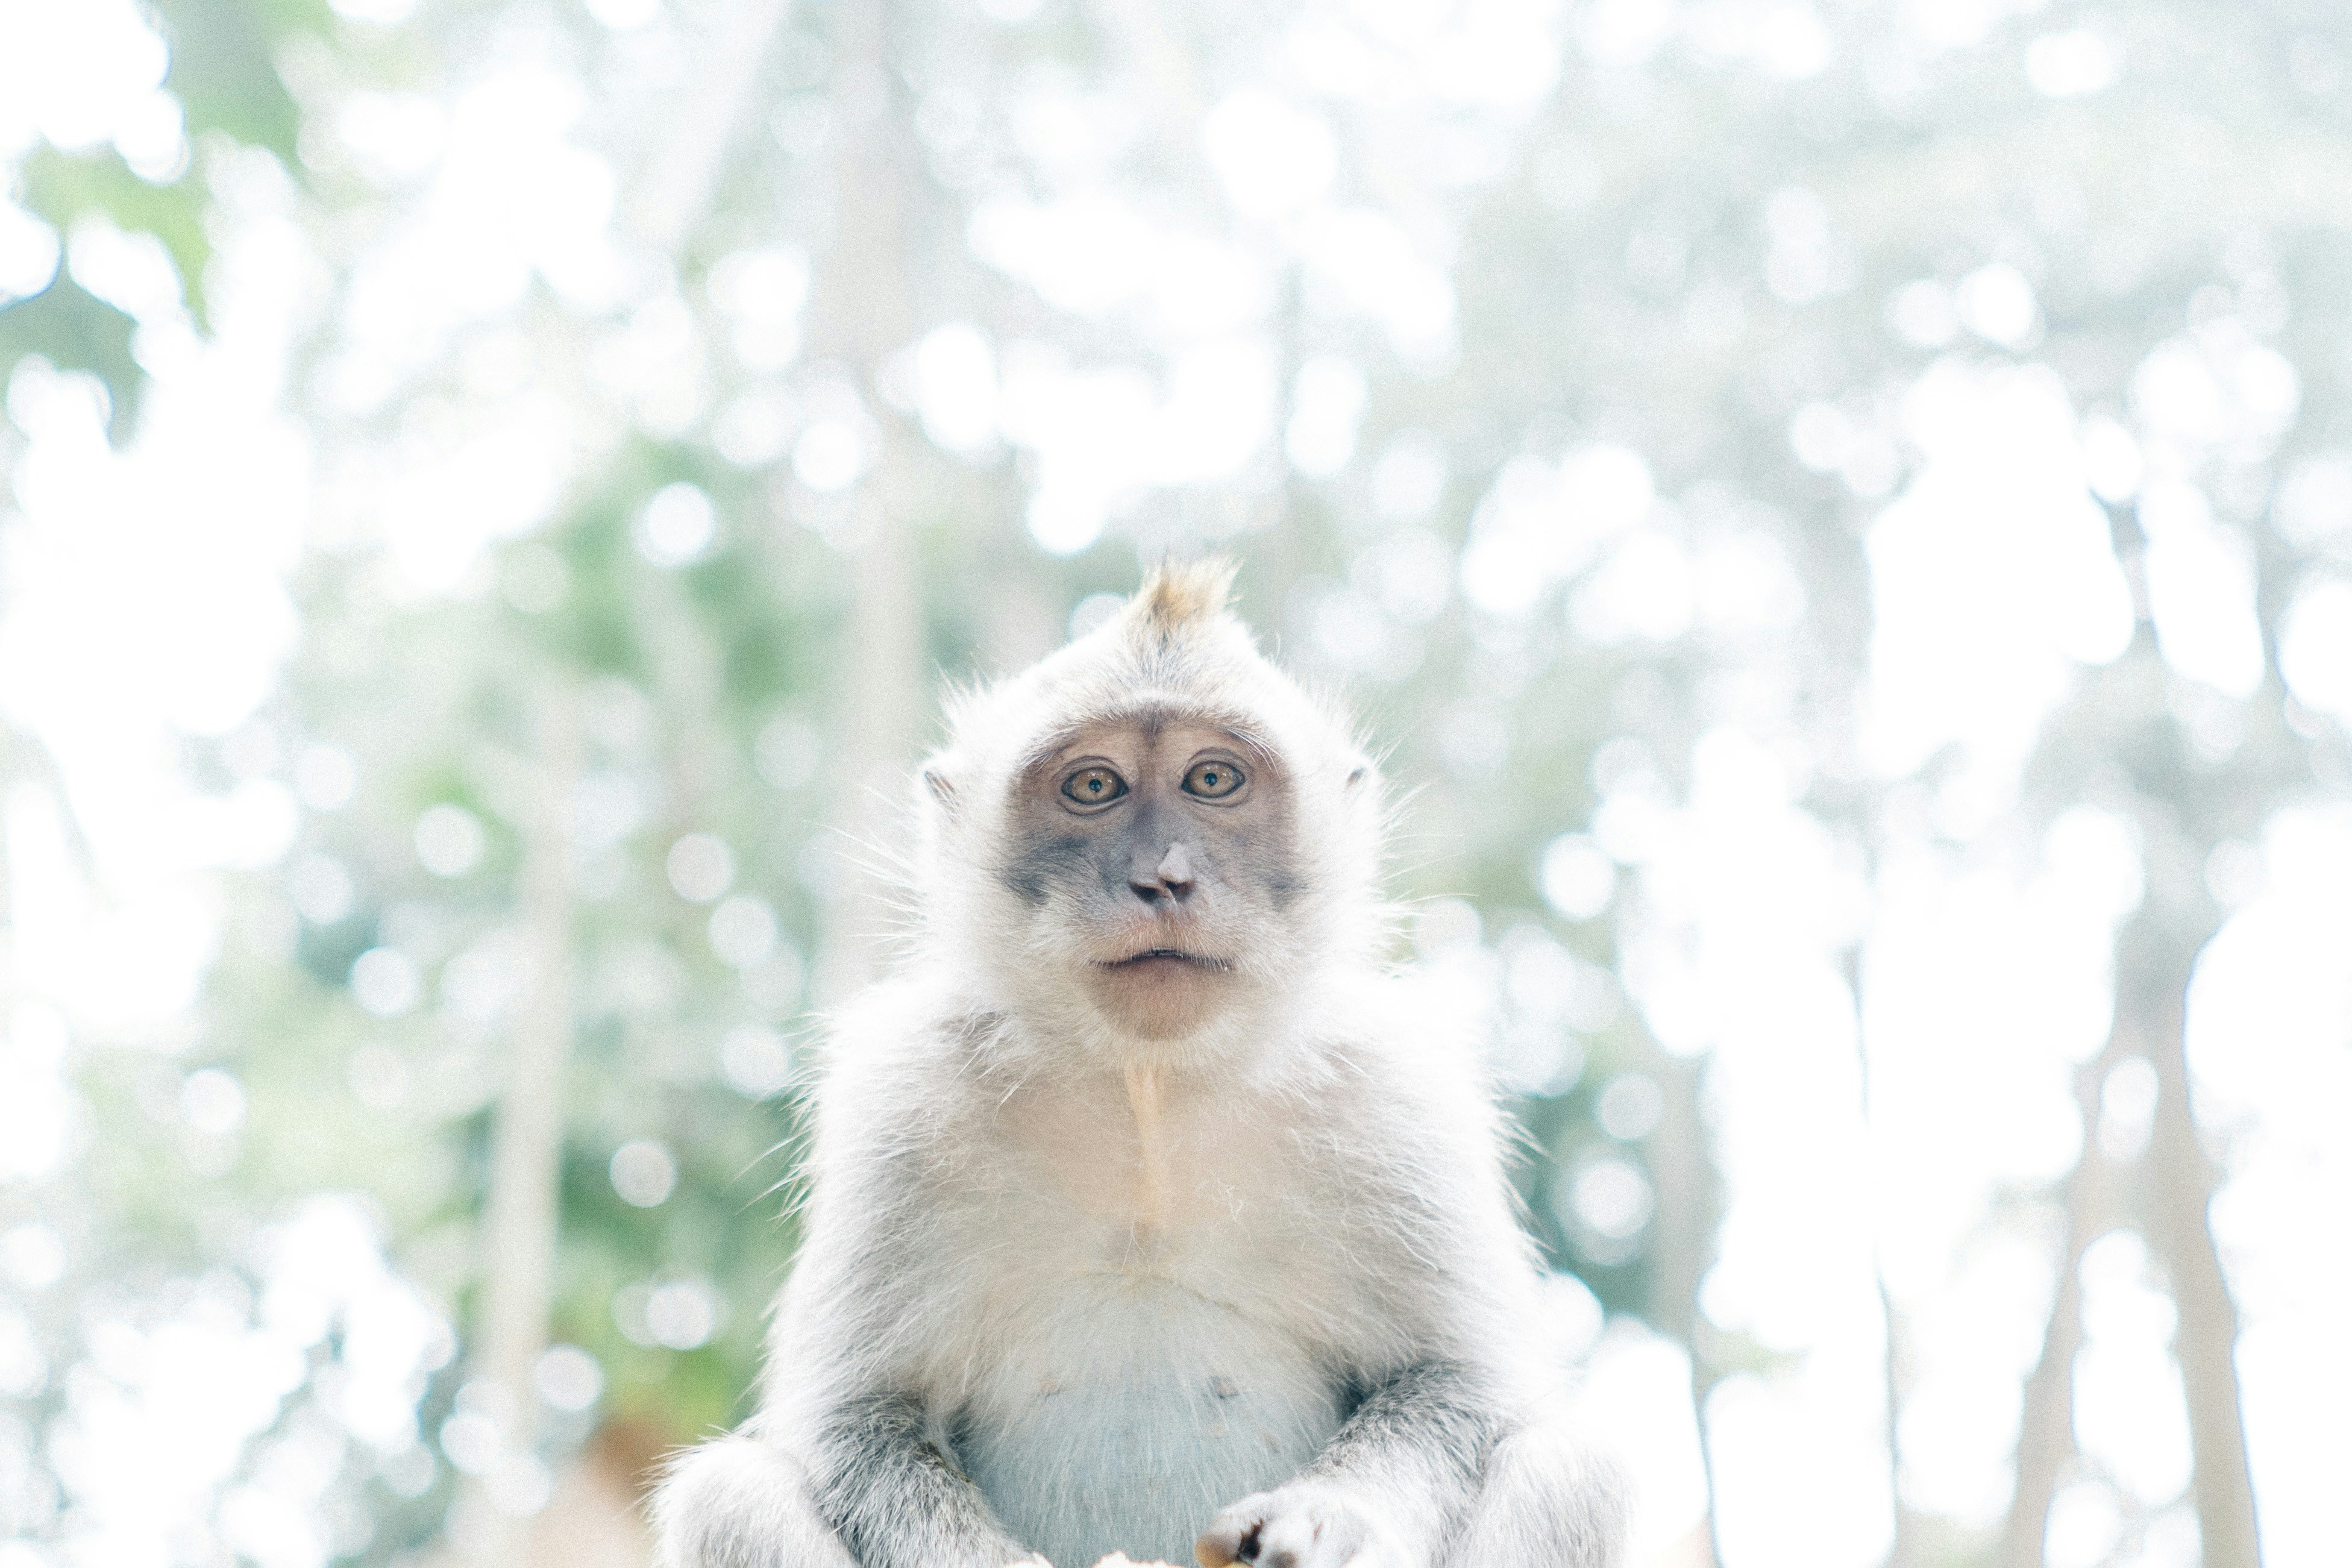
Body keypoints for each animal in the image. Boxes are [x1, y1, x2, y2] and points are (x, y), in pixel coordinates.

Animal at [656, 559, 1628, 1568]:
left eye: (1212, 778)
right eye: (1094, 784)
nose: (1163, 878)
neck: (1147, 1090)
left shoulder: (1391, 1094)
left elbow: (1451, 1381)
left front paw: (1322, 1523)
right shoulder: (903, 1100)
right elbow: (862, 1417)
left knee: (1564, 1467)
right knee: (730, 1495)